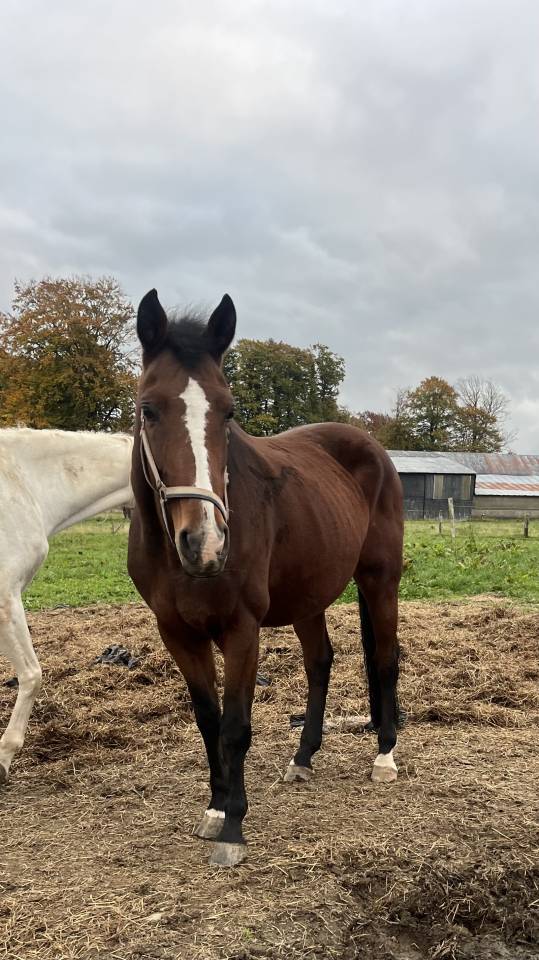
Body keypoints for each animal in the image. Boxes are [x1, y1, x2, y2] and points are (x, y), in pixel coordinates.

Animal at [128, 289, 404, 868]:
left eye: (228, 411)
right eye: (149, 408)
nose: (205, 543)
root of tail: (371, 447)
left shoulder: (241, 629)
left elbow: (236, 727)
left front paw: (234, 828)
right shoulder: (176, 632)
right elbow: (208, 719)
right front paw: (215, 810)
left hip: (379, 581)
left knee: (385, 659)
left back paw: (385, 757)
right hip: (308, 597)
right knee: (320, 662)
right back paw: (303, 758)